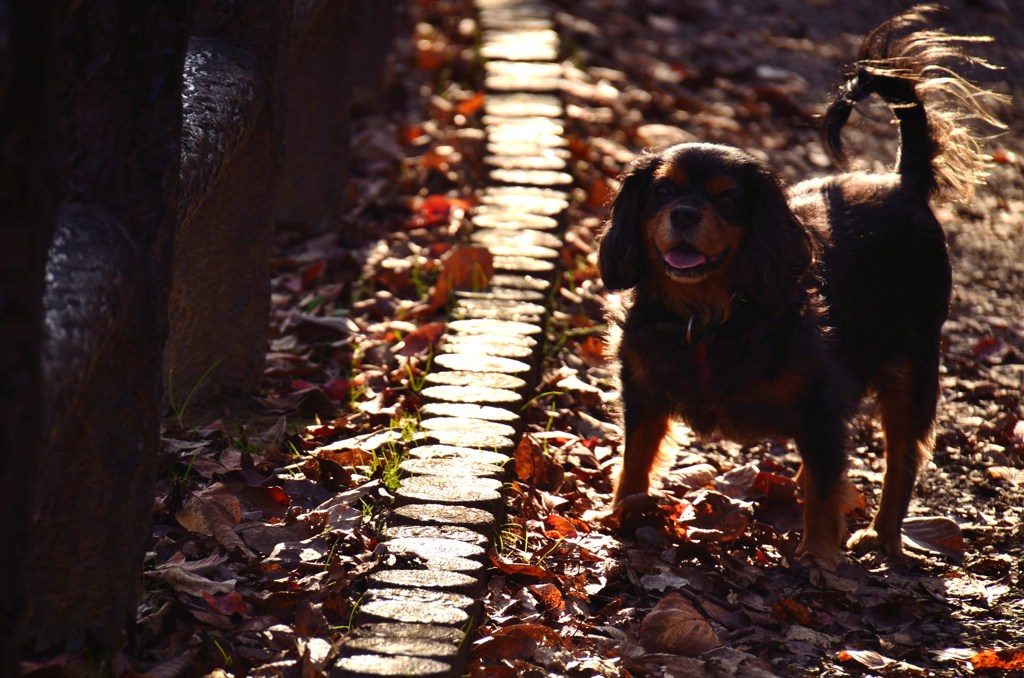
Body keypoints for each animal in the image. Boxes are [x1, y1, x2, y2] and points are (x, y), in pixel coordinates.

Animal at [598, 6, 1003, 569]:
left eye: (727, 202)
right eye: (661, 192)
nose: (683, 213)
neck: (706, 315)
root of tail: (904, 182)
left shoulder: (822, 405)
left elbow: (828, 484)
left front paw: (817, 554)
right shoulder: (643, 392)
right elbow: (634, 459)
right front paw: (623, 517)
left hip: (912, 369)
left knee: (900, 461)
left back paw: (882, 537)